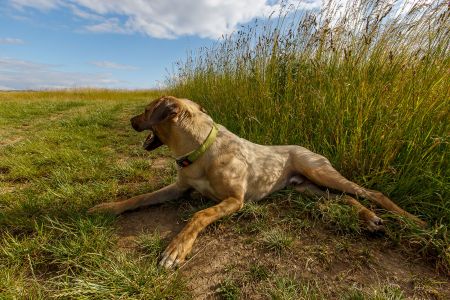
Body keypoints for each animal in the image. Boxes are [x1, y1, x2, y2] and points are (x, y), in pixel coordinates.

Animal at [88, 96, 426, 270]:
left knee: (371, 193)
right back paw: (369, 219)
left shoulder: (234, 200)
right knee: (344, 198)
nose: (131, 119)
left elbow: (198, 215)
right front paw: (105, 208)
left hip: (319, 172)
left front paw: (176, 250)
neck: (201, 149)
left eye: (146, 110)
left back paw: (413, 221)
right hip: (307, 188)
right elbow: (138, 199)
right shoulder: (179, 189)